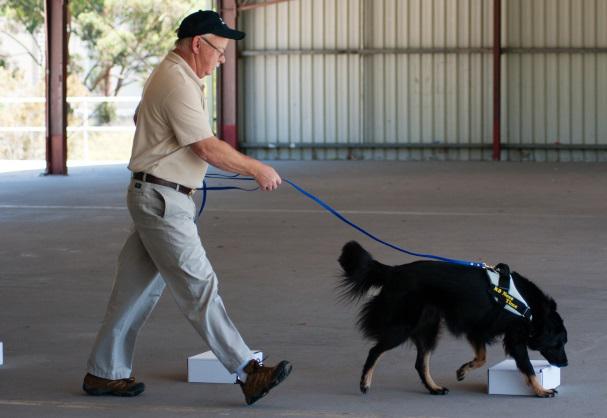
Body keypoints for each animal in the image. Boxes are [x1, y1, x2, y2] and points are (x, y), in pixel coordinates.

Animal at [340, 240, 568, 396]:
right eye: (559, 343)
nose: (565, 364)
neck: (531, 307)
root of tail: (394, 271)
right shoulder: (513, 338)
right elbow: (527, 367)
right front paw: (541, 390)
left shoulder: (477, 329)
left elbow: (482, 357)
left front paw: (464, 370)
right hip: (403, 327)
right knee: (375, 351)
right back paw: (365, 382)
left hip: (428, 329)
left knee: (420, 363)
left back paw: (434, 388)